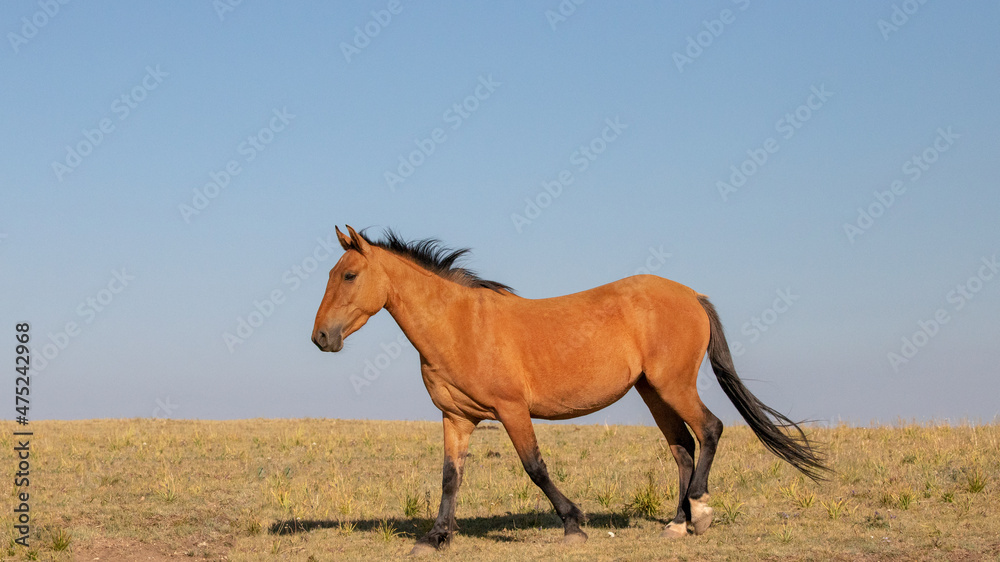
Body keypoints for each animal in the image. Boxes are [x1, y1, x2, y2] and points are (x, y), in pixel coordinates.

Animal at [312, 226, 827, 554]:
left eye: (349, 275)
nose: (321, 338)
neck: (461, 325)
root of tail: (691, 295)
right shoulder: (456, 418)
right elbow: (450, 477)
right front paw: (437, 537)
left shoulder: (512, 410)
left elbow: (535, 468)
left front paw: (573, 524)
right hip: (652, 392)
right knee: (683, 446)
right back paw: (677, 524)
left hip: (673, 384)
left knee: (710, 429)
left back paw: (699, 511)